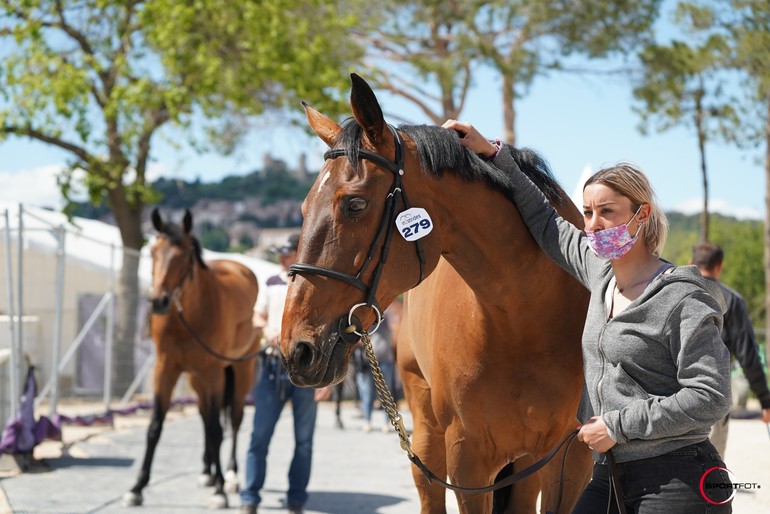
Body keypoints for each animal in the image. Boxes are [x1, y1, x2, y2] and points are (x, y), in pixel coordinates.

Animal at [123, 206, 260, 506]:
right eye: (153, 252)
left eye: (184, 255)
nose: (159, 301)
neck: (187, 317)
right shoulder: (165, 369)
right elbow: (155, 427)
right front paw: (137, 487)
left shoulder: (213, 372)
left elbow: (217, 429)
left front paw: (220, 490)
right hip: (198, 379)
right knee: (204, 415)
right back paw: (207, 471)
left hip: (240, 370)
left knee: (233, 419)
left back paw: (230, 475)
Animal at [280, 73, 592, 512]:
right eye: (305, 209)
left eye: (354, 204)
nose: (297, 349)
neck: (525, 320)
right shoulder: (468, 458)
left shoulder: (571, 457)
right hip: (427, 431)